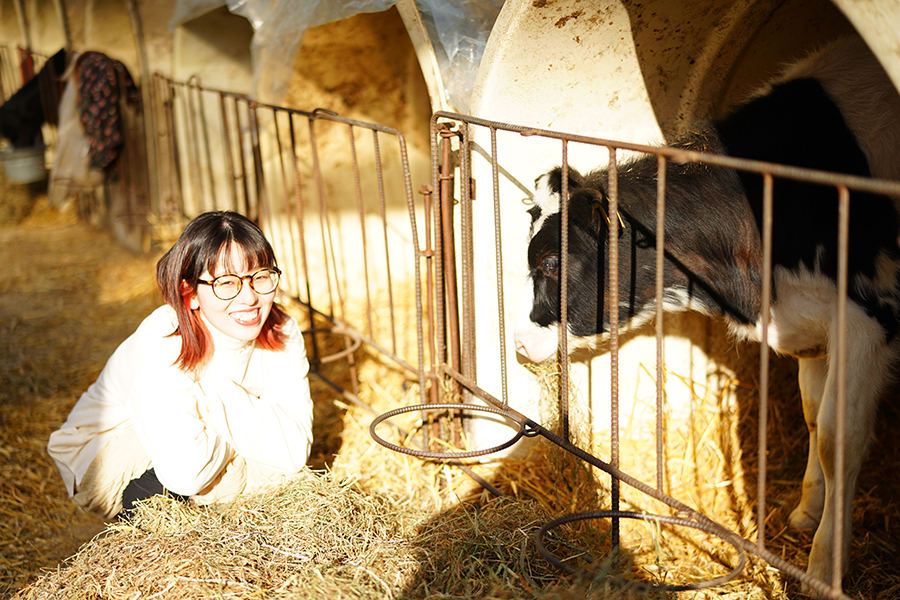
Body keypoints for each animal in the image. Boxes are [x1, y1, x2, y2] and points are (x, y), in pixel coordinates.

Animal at [512, 37, 900, 584]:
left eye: (549, 261)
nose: (520, 342)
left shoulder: (868, 318)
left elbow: (836, 438)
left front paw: (824, 566)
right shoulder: (813, 322)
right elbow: (812, 415)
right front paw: (807, 511)